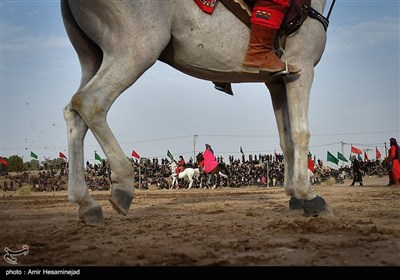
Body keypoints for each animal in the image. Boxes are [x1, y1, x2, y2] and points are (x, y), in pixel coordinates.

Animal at [61, 0, 332, 228]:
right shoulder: (302, 66)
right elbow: (300, 133)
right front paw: (309, 196)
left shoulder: (276, 81)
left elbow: (286, 140)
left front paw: (294, 196)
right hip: (135, 49)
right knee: (91, 102)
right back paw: (123, 187)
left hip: (92, 56)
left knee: (74, 112)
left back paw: (86, 204)